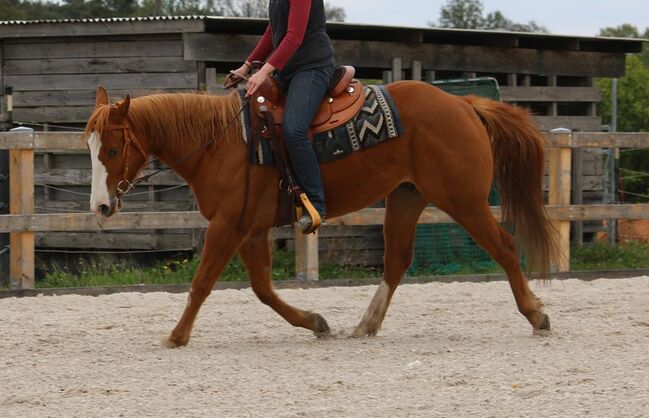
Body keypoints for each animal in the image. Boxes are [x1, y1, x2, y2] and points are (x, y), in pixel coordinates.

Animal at [85, 81, 556, 346]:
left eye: (113, 150)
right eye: (90, 147)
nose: (100, 206)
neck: (221, 143)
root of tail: (464, 104)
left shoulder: (228, 226)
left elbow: (201, 284)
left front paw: (176, 336)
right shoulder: (250, 229)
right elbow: (262, 289)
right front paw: (314, 322)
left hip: (463, 200)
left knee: (505, 247)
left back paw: (536, 315)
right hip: (406, 198)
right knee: (396, 261)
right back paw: (365, 325)